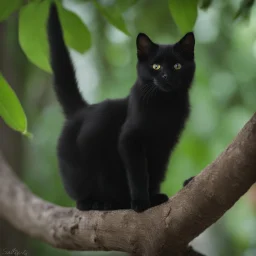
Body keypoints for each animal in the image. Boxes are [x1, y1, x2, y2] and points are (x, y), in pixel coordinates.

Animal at [47, 4, 196, 212]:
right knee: (79, 198)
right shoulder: (130, 139)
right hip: (79, 170)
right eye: (156, 66)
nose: (166, 76)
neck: (164, 106)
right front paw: (141, 202)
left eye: (177, 66)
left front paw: (153, 197)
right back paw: (97, 203)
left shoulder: (164, 144)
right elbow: (138, 172)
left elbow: (154, 173)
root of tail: (80, 110)